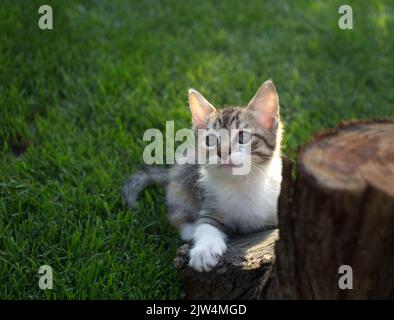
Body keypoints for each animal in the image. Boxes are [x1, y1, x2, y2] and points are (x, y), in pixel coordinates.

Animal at [123, 80, 280, 272]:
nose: (222, 152)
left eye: (243, 136)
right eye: (210, 140)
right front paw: (204, 250)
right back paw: (189, 230)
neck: (241, 183)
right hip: (180, 181)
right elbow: (205, 225)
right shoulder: (209, 204)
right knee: (176, 211)